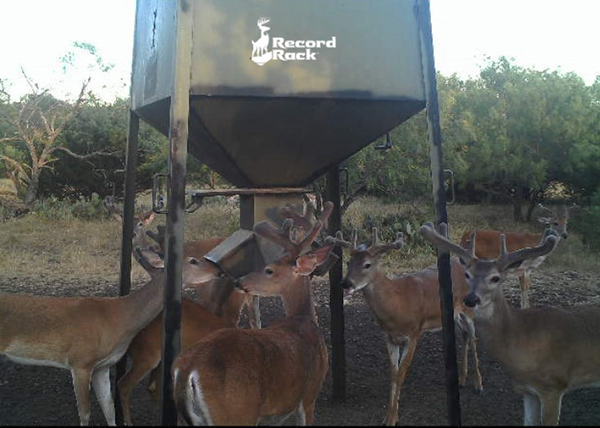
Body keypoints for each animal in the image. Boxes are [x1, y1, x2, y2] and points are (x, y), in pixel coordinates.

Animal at [171, 202, 336, 426]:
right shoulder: (309, 396)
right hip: (236, 413)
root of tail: (188, 368)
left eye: (269, 270)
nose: (239, 281)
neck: (304, 318)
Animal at [328, 227, 482, 424]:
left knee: (474, 337)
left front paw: (393, 418)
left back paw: (478, 384)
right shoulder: (389, 337)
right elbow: (393, 374)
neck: (398, 304)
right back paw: (462, 379)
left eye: (367, 264)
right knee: (464, 335)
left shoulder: (414, 333)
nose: (346, 283)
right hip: (454, 314)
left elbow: (401, 374)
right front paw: (388, 416)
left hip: (469, 308)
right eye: (348, 262)